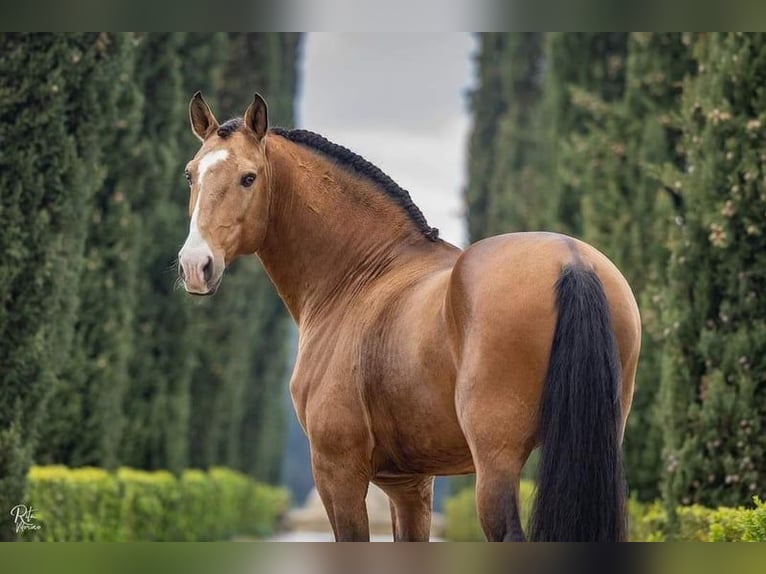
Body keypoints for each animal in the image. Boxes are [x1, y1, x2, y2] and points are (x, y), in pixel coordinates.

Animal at [177, 92, 640, 544]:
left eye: (249, 177)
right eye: (190, 175)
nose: (195, 265)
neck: (362, 276)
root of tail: (571, 261)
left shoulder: (337, 471)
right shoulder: (409, 484)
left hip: (496, 463)